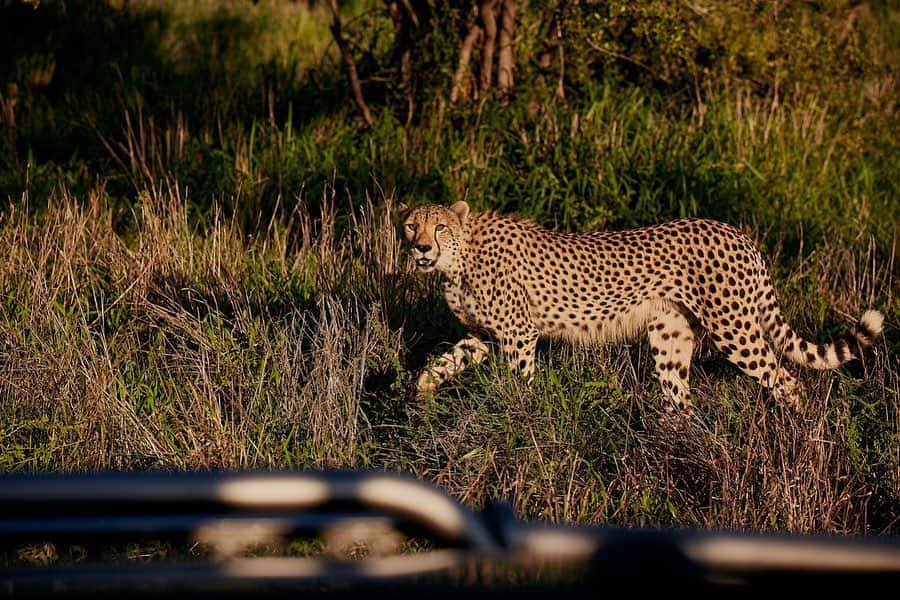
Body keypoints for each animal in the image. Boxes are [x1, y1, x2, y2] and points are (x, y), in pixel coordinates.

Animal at [400, 202, 884, 412]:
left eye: (439, 227)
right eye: (410, 226)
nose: (421, 247)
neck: (459, 258)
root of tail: (737, 232)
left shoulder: (519, 334)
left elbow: (520, 382)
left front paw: (521, 415)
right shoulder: (482, 334)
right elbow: (444, 361)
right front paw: (420, 393)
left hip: (735, 330)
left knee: (785, 380)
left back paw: (796, 433)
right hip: (670, 336)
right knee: (680, 399)